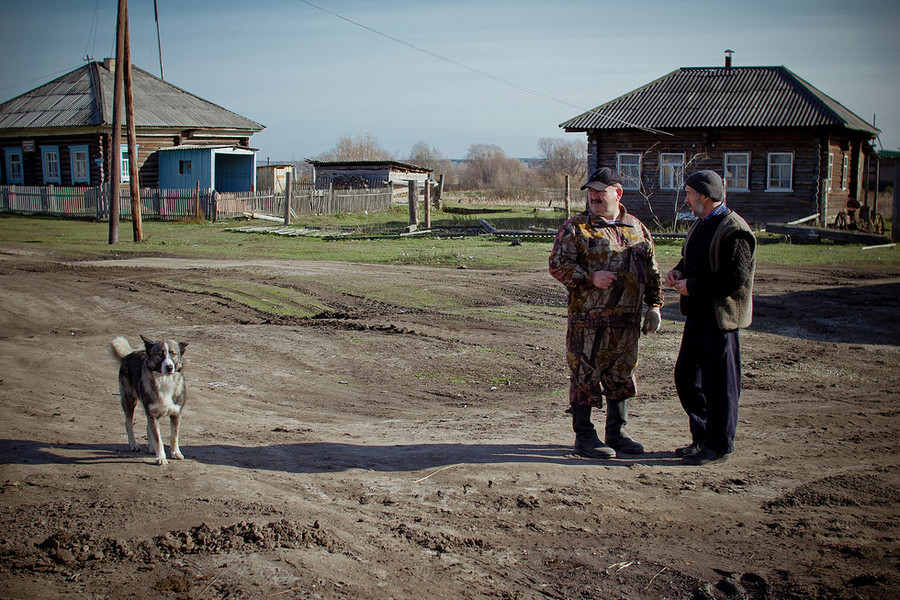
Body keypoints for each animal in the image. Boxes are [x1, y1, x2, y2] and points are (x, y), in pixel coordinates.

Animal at [112, 336, 190, 466]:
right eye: (160, 355)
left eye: (173, 354)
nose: (170, 367)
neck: (165, 381)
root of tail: (130, 354)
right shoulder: (152, 414)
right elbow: (158, 438)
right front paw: (161, 457)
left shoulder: (176, 414)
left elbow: (174, 436)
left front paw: (175, 453)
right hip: (129, 401)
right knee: (128, 423)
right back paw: (134, 445)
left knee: (148, 428)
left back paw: (151, 447)